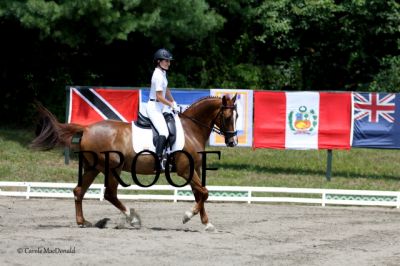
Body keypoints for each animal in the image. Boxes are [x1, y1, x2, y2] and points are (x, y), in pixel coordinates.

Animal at [32, 95, 238, 231]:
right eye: (228, 117)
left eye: (236, 117)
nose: (232, 142)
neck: (191, 129)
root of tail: (87, 128)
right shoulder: (185, 170)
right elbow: (204, 192)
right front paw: (187, 217)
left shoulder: (195, 169)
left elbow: (200, 194)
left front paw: (207, 223)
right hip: (112, 168)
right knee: (109, 194)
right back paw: (133, 219)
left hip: (94, 168)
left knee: (79, 191)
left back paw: (83, 222)